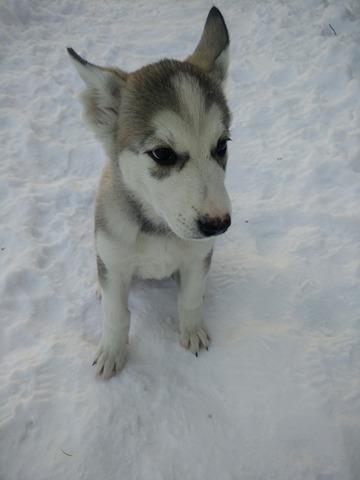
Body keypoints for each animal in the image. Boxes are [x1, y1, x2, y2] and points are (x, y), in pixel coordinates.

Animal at [67, 5, 231, 376]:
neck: (159, 230)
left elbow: (190, 299)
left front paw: (192, 331)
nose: (218, 224)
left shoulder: (197, 258)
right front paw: (112, 352)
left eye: (222, 145)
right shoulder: (114, 267)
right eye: (162, 154)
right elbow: (116, 314)